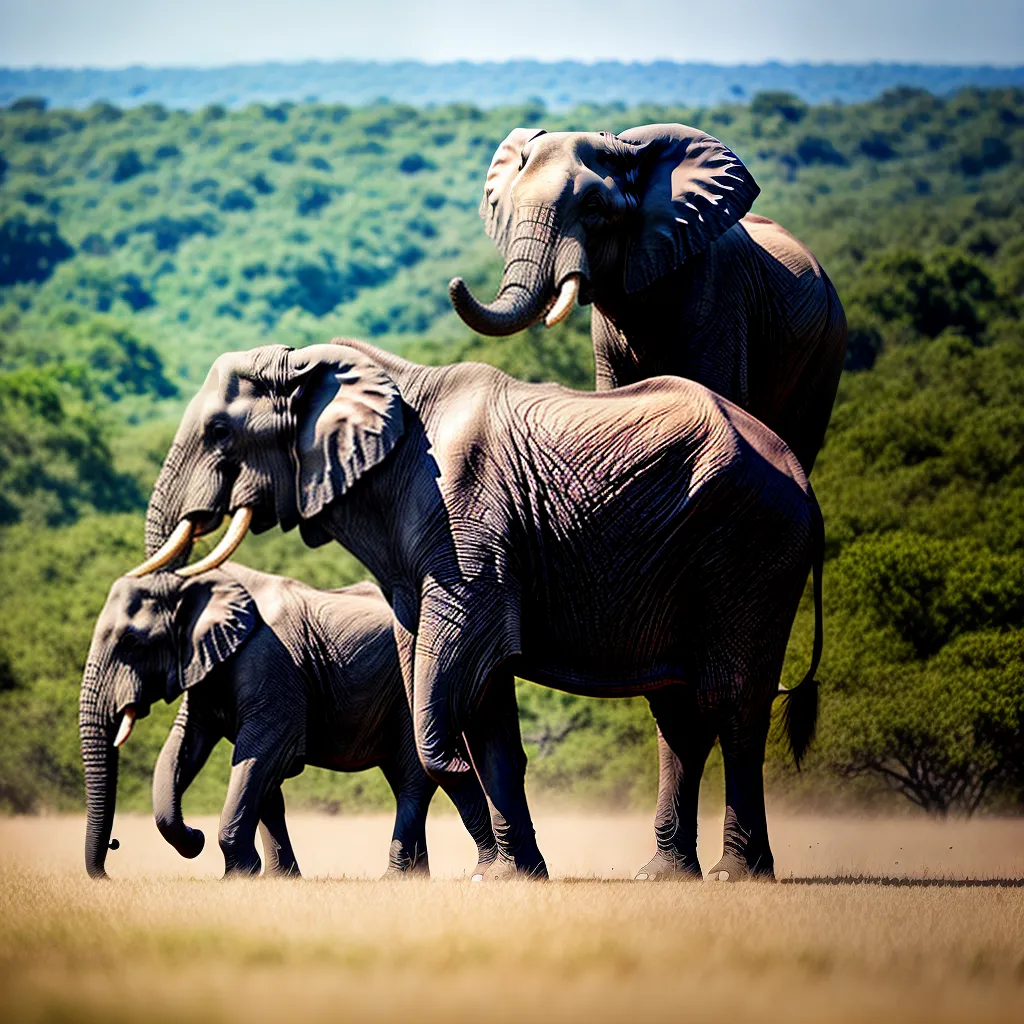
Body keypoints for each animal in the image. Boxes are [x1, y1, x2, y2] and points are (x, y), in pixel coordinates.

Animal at [79, 562, 498, 879]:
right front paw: (277, 879)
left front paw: (239, 876)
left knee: (412, 779)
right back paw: (414, 878)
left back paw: (395, 879)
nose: (115, 846)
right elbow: (194, 747)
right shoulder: (207, 666)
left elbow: (263, 753)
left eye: (131, 642)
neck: (197, 580)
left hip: (413, 695)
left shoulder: (271, 662)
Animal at [133, 339, 824, 882]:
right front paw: (508, 874)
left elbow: (460, 671)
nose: (192, 840)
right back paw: (661, 874)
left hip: (750, 547)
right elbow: (481, 704)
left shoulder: (471, 523)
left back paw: (737, 873)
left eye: (220, 433)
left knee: (731, 703)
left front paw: (487, 844)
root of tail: (800, 475)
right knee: (676, 714)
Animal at [449, 124, 846, 876]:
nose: (457, 284)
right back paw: (666, 869)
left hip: (823, 358)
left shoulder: (717, 299)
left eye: (597, 211)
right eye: (505, 209)